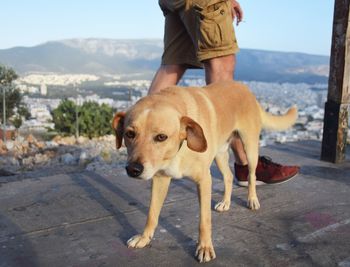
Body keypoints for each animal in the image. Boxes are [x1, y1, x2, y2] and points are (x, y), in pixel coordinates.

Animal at [112, 80, 298, 262]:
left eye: (161, 137)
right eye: (130, 134)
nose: (133, 169)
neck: (180, 147)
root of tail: (244, 88)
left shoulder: (204, 181)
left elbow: (204, 220)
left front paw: (205, 247)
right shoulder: (160, 179)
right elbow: (152, 213)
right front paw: (144, 238)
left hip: (250, 146)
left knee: (251, 175)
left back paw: (252, 199)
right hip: (220, 154)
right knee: (228, 176)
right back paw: (225, 202)